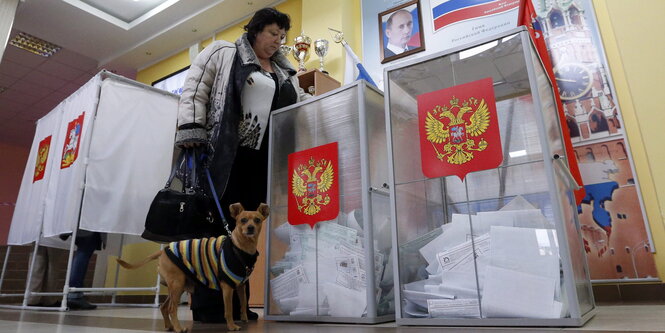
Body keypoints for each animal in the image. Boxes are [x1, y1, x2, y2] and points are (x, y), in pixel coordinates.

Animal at [116, 201, 268, 330]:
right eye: (243, 220)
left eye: (257, 220)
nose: (250, 228)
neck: (240, 247)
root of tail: (163, 251)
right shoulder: (227, 287)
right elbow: (229, 310)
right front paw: (231, 326)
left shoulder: (241, 286)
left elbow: (243, 303)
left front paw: (244, 318)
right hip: (177, 284)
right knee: (172, 309)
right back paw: (178, 328)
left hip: (176, 287)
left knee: (164, 307)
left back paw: (170, 326)